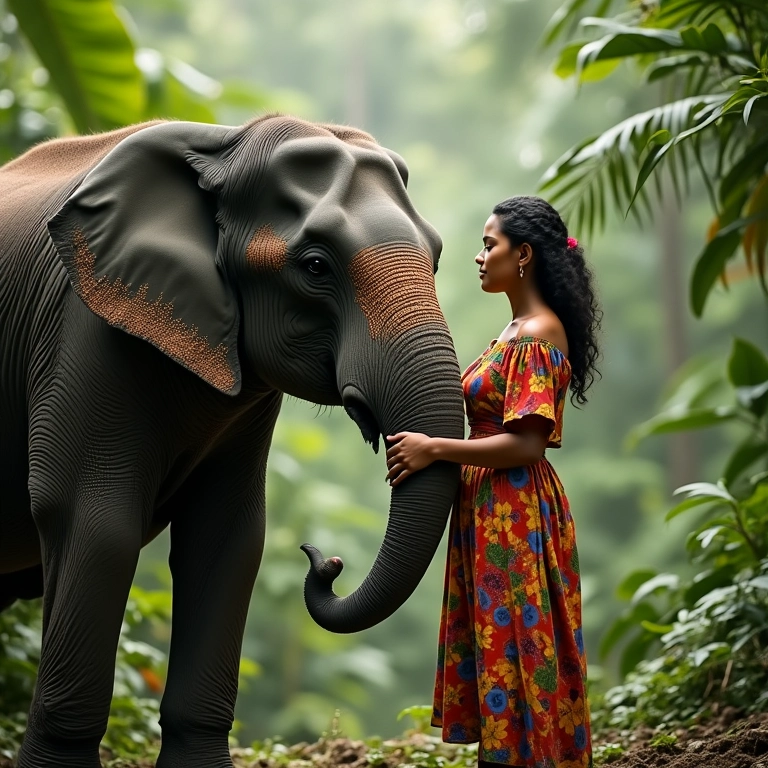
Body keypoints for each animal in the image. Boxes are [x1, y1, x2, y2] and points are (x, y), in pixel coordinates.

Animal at [0, 114, 464, 768]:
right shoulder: (83, 330)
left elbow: (229, 536)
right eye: (315, 266)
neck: (224, 144)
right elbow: (94, 522)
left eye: (438, 257)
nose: (327, 560)